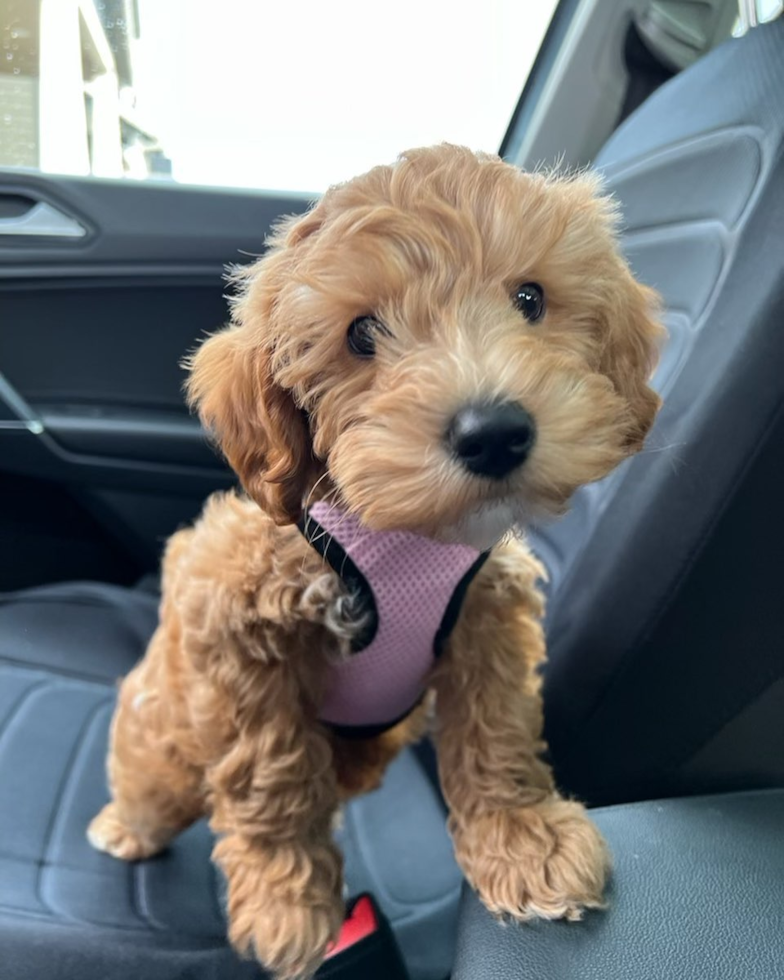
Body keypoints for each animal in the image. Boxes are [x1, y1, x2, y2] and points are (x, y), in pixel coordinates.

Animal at [87, 142, 660, 976]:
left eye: (530, 299)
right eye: (362, 335)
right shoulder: (235, 622)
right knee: (156, 785)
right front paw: (287, 900)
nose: (494, 433)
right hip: (164, 742)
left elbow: (496, 727)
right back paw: (123, 826)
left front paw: (522, 839)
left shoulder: (487, 618)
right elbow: (269, 771)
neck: (404, 535)